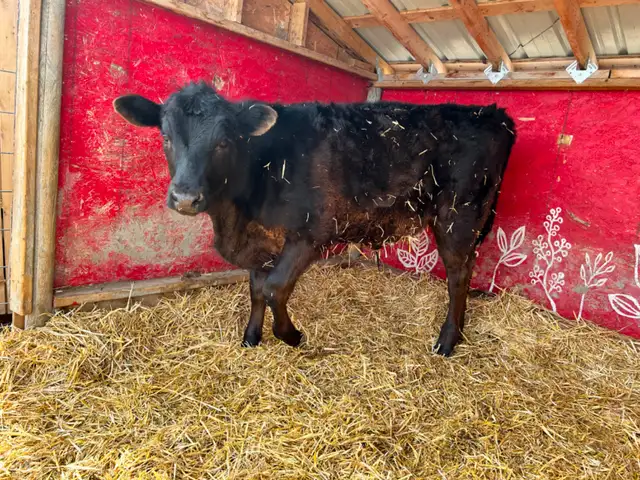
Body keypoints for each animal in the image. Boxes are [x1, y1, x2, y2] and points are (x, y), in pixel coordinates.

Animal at [113, 82, 516, 356]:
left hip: (459, 215)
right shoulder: (260, 240)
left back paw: (448, 340)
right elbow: (256, 289)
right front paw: (251, 338)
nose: (185, 197)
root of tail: (490, 113)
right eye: (166, 136)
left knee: (458, 276)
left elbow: (275, 289)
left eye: (223, 142)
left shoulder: (310, 234)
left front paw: (291, 335)